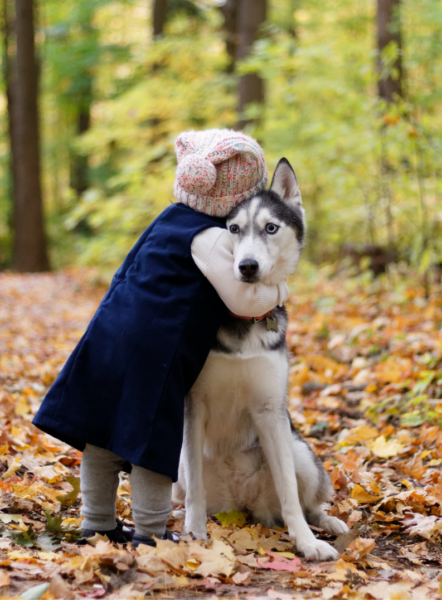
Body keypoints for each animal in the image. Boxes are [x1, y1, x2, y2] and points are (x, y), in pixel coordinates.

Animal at [173, 158, 348, 556]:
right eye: (233, 229)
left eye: (271, 227)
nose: (247, 266)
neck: (243, 316)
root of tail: (243, 504)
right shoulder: (193, 407)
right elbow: (195, 492)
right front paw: (194, 533)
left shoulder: (271, 411)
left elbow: (289, 492)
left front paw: (306, 542)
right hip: (178, 470)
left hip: (300, 452)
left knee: (308, 502)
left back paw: (326, 524)